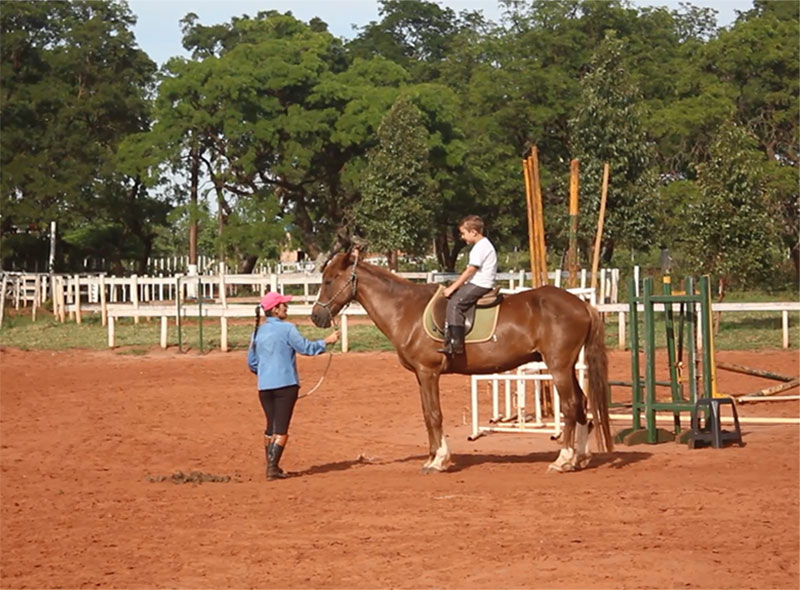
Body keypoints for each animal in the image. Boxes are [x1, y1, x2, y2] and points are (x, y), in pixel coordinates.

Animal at [312, 252, 612, 474]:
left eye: (329, 280)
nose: (316, 316)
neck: (405, 309)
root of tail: (582, 304)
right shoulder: (420, 376)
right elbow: (427, 414)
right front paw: (432, 456)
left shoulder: (428, 372)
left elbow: (435, 415)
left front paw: (439, 461)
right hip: (567, 367)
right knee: (582, 402)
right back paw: (580, 457)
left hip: (558, 367)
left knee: (571, 406)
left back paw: (563, 460)